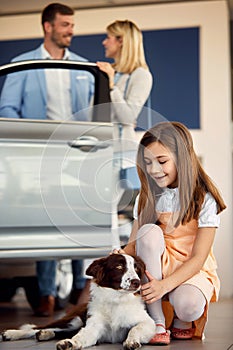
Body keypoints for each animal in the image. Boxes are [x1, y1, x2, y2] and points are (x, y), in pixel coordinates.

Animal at [1, 254, 156, 350]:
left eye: (136, 268)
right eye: (119, 267)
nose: (136, 282)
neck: (116, 299)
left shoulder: (148, 322)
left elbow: (135, 328)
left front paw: (131, 341)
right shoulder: (93, 327)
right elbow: (80, 336)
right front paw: (70, 343)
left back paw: (45, 334)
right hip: (72, 319)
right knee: (34, 328)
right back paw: (11, 333)